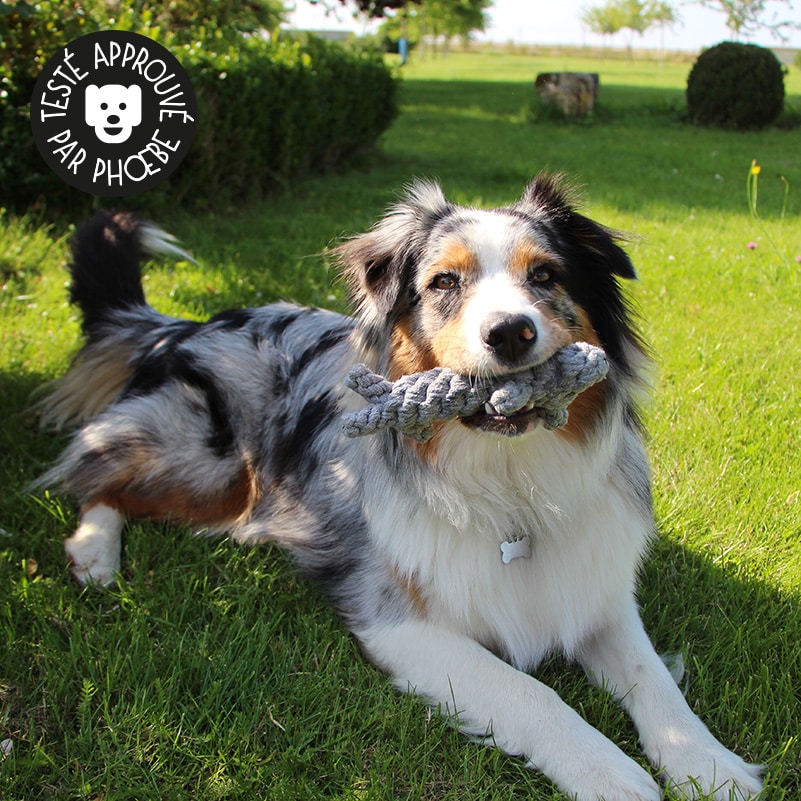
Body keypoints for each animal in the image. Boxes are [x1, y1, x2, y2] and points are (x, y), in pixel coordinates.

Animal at [39, 177, 764, 800]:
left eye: (545, 275)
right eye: (444, 281)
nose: (510, 331)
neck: (510, 482)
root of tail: (186, 324)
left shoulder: (594, 590)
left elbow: (655, 681)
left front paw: (709, 764)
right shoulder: (396, 621)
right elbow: (530, 692)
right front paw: (607, 771)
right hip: (212, 464)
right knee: (94, 466)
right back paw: (94, 552)